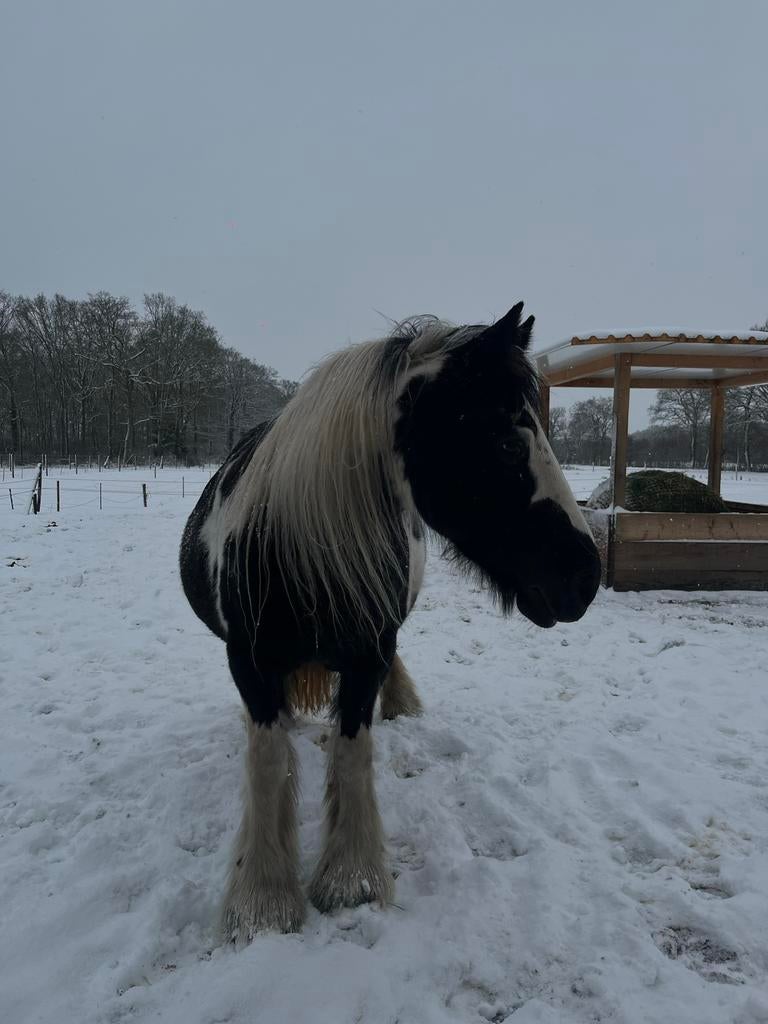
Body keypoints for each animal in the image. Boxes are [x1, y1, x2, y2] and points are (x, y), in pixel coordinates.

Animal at [179, 302, 601, 944]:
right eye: (508, 442)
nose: (587, 577)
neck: (295, 552)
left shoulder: (368, 653)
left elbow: (353, 753)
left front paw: (349, 880)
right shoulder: (249, 664)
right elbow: (268, 762)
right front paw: (263, 901)